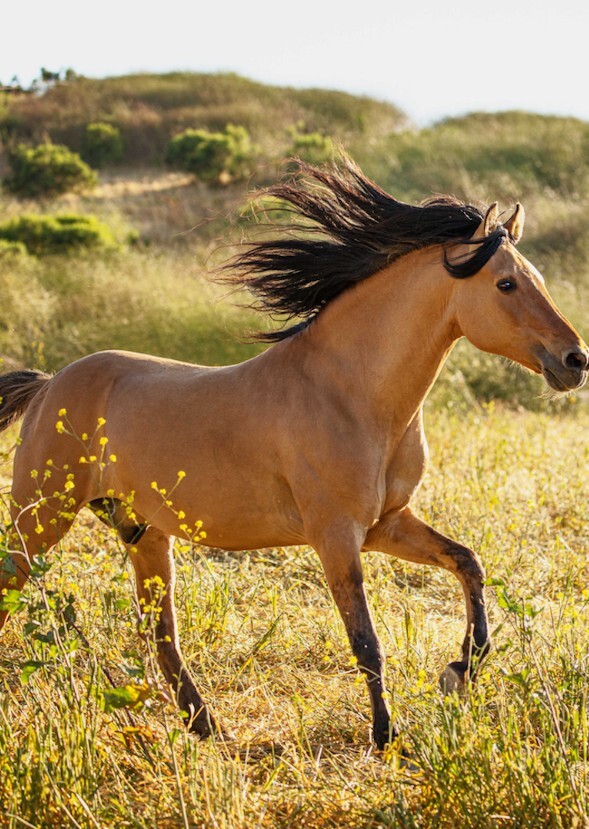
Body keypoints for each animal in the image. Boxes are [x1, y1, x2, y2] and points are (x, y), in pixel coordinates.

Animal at [0, 159, 587, 750]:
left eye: (535, 278)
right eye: (506, 283)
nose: (575, 360)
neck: (350, 392)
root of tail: (49, 386)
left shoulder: (387, 525)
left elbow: (468, 564)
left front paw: (458, 673)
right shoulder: (336, 537)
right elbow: (367, 641)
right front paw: (384, 735)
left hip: (145, 535)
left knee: (161, 636)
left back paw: (210, 729)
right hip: (42, 520)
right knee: (18, 585)